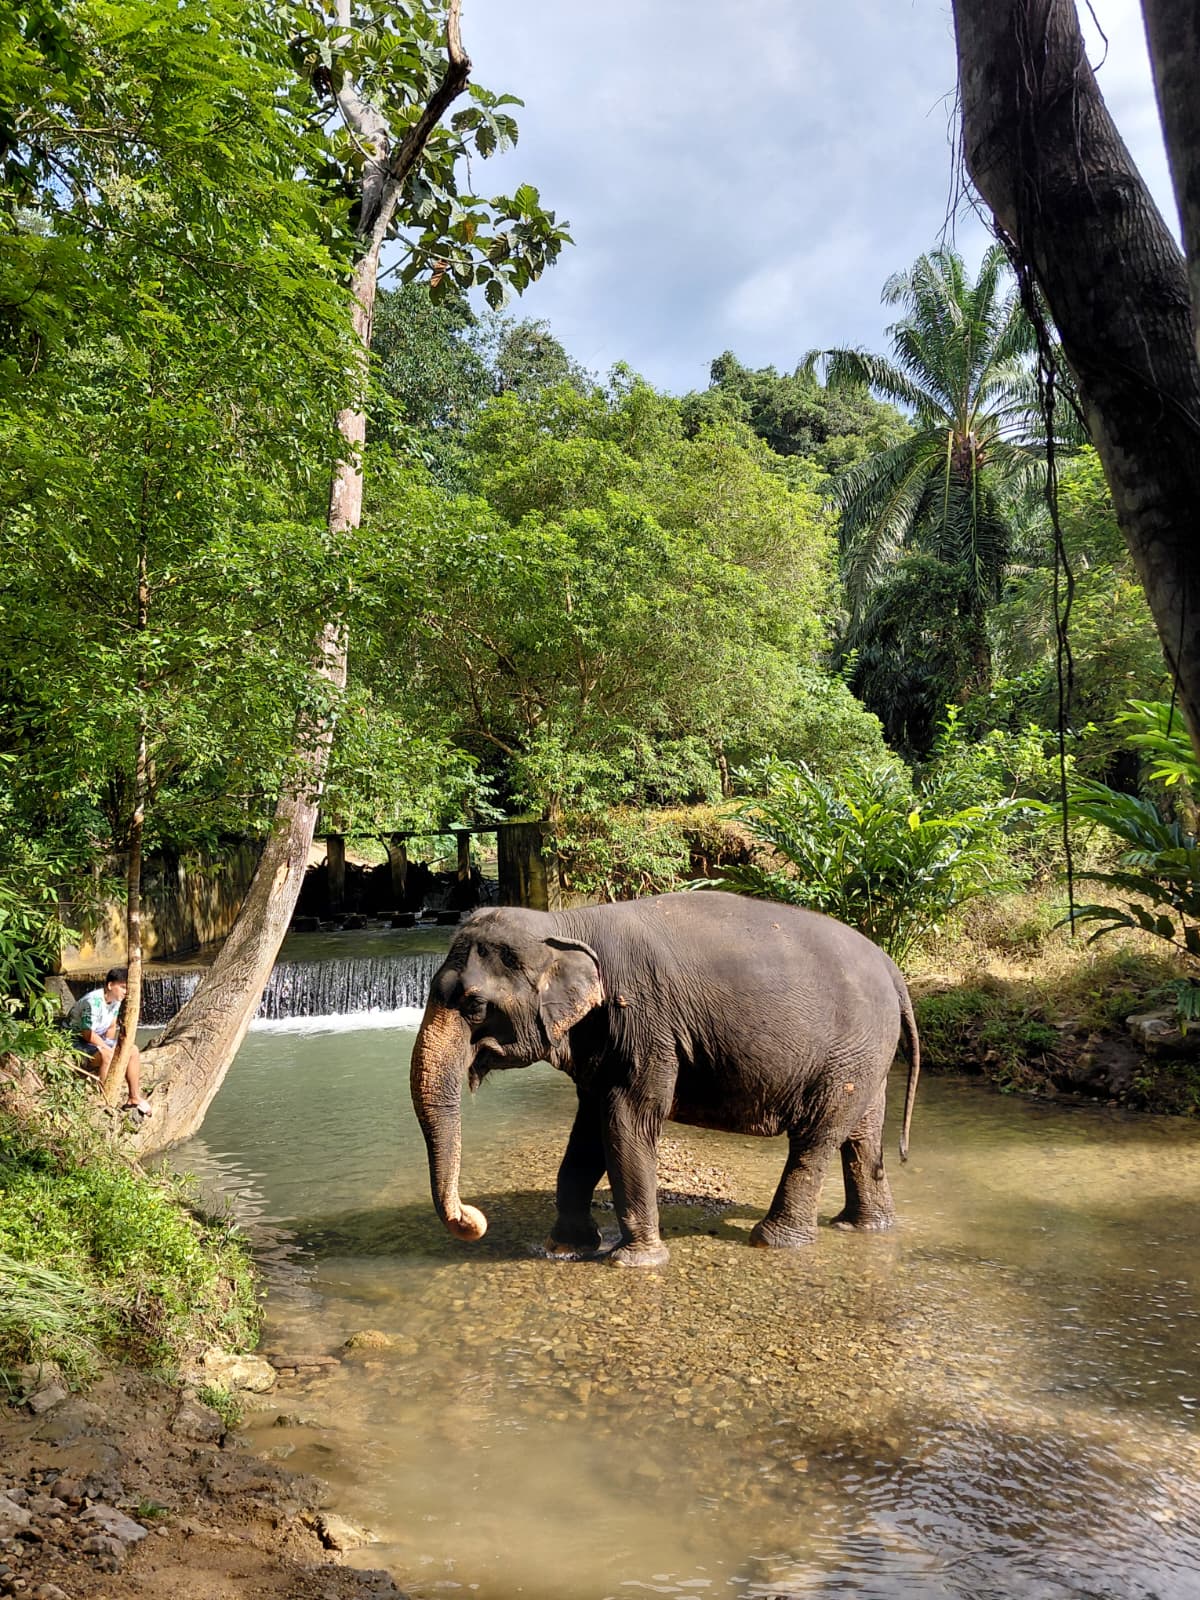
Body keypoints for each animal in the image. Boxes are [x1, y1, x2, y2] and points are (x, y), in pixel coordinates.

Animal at [410, 890, 920, 1268]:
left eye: (476, 1005)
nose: (474, 1220)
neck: (568, 923)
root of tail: (893, 969)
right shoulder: (602, 1042)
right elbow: (588, 1132)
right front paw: (566, 1249)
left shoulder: (646, 1024)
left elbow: (627, 1122)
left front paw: (633, 1262)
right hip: (866, 1056)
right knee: (862, 1137)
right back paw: (863, 1226)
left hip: (847, 1055)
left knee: (816, 1139)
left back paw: (772, 1241)